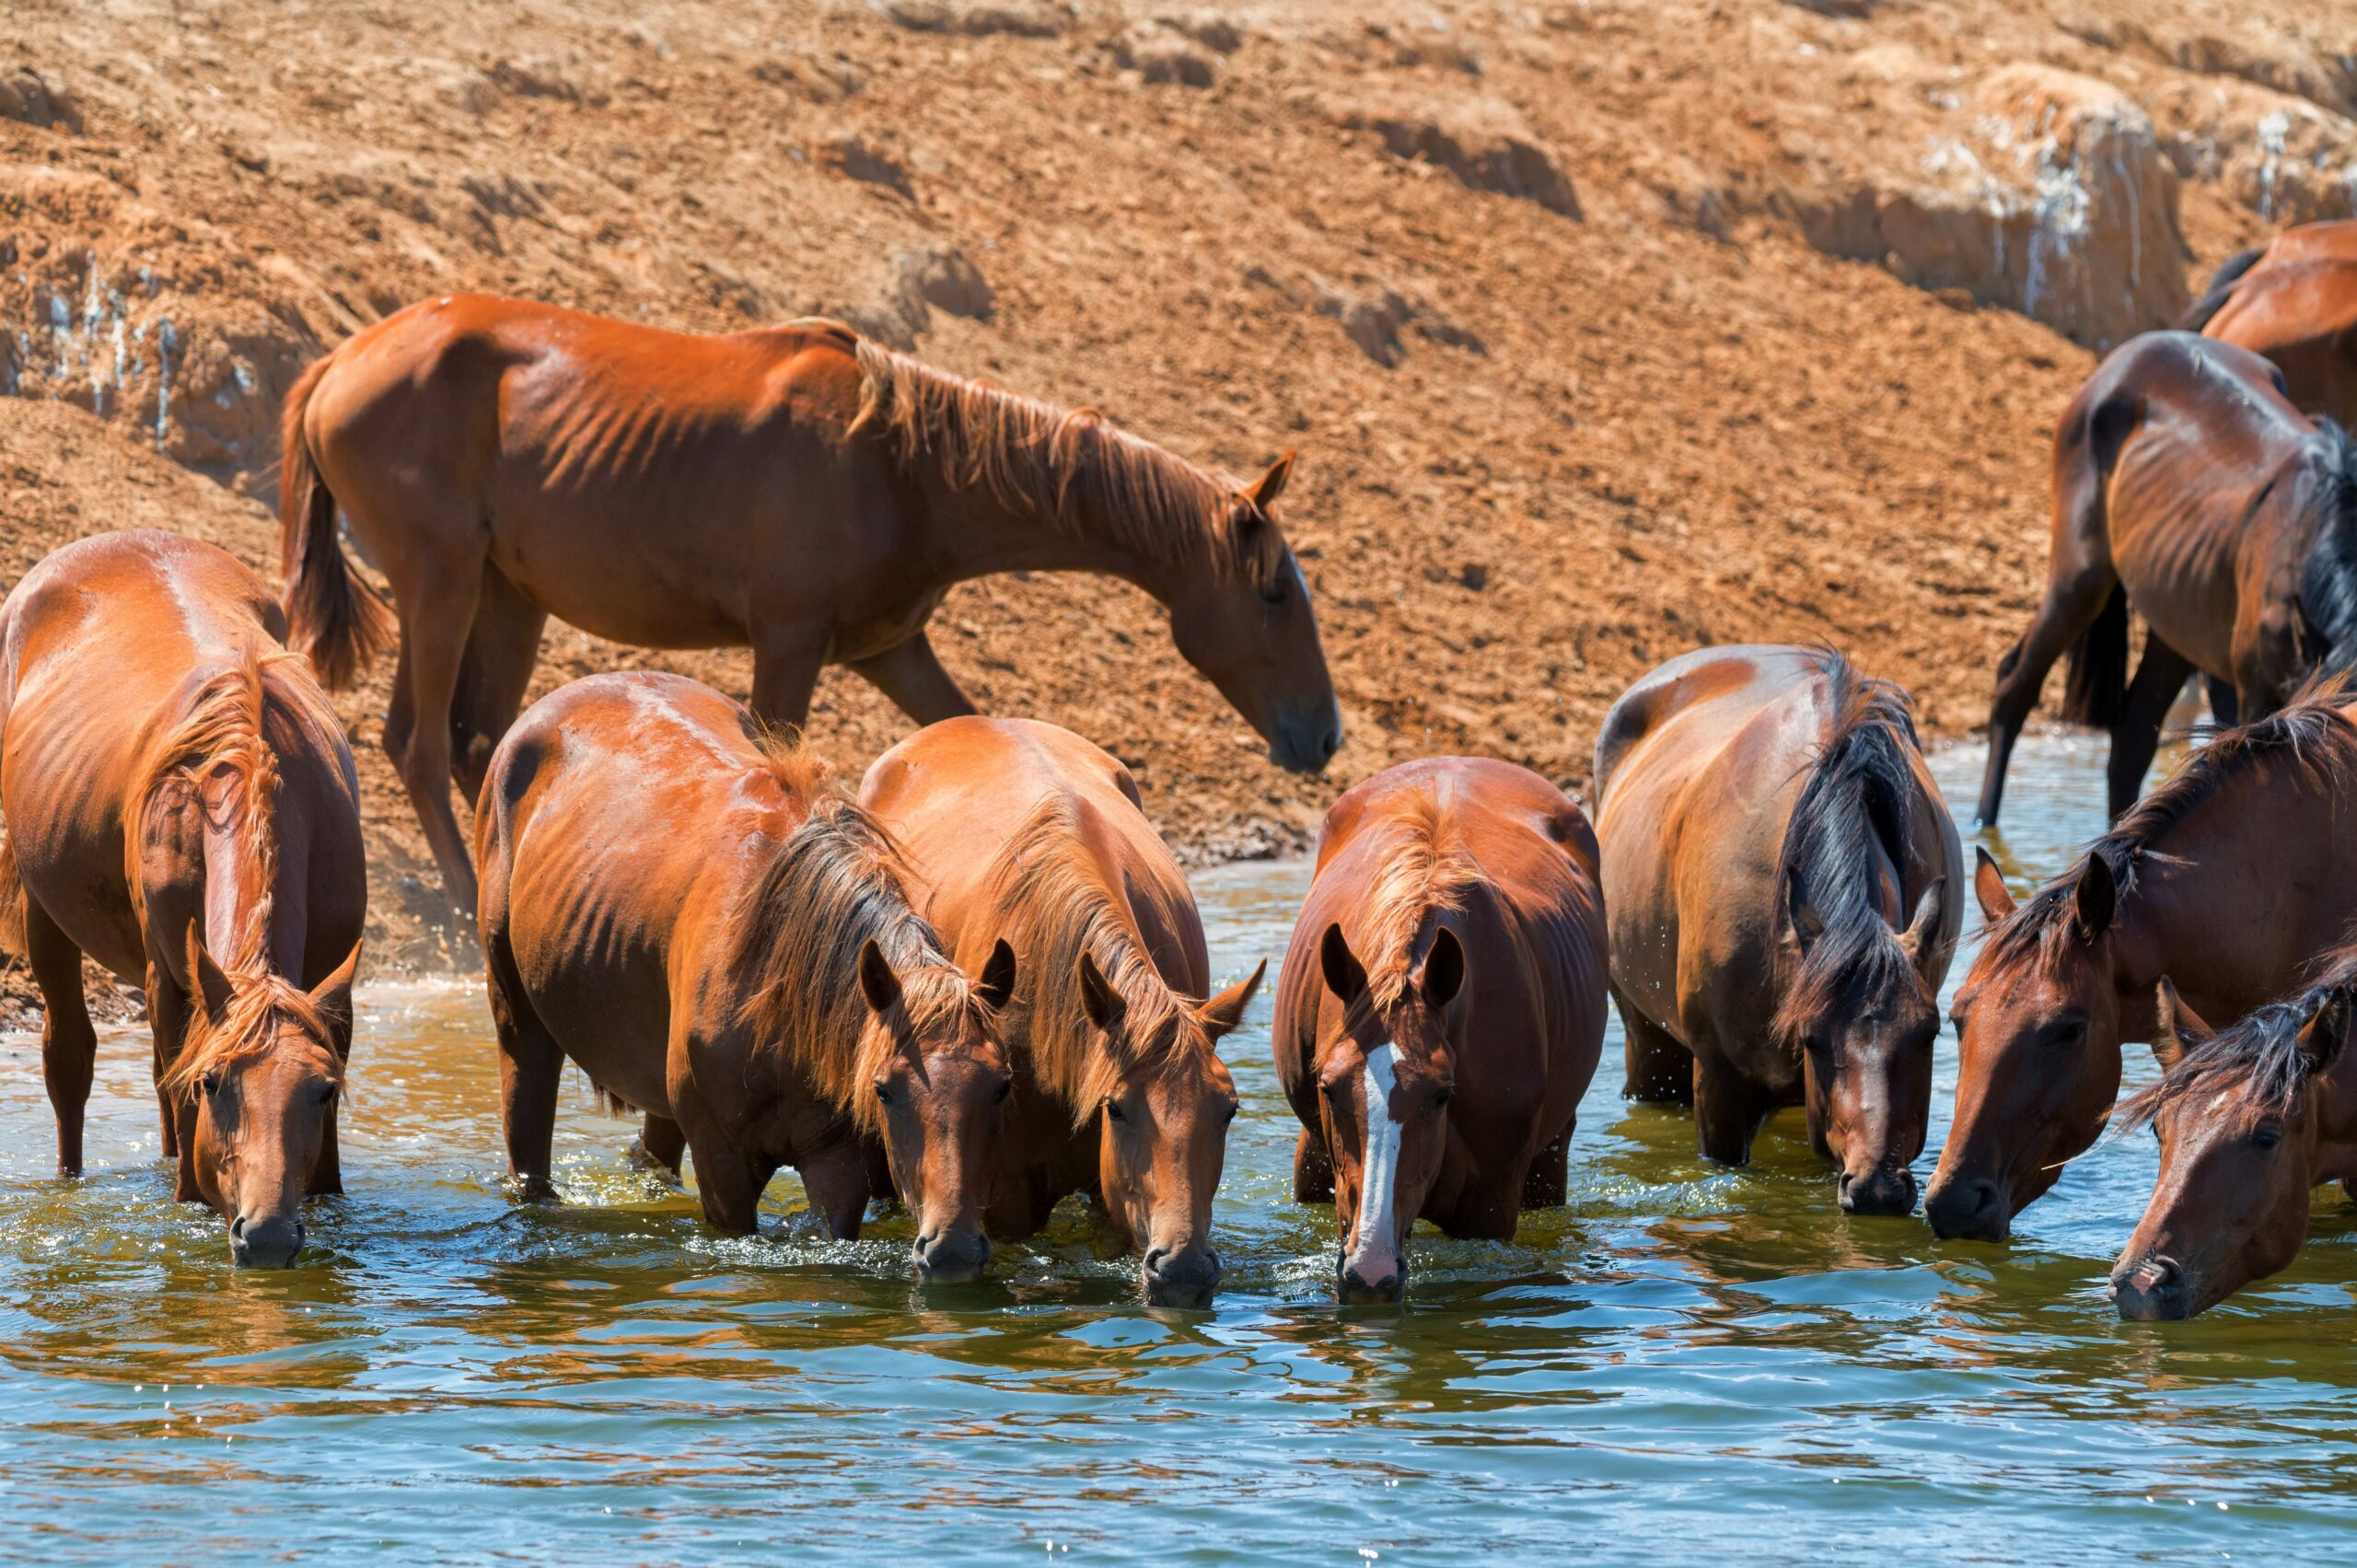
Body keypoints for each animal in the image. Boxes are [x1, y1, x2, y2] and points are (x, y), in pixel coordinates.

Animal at [0, 531, 365, 1267]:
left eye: (323, 1090)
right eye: (215, 1083)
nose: (267, 1236)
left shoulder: (331, 990)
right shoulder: (171, 977)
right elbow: (176, 1092)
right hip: (45, 912)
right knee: (71, 1057)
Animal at [278, 293, 1342, 925]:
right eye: (1273, 592)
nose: (1324, 735)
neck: (903, 463)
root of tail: (336, 364)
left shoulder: (890, 646)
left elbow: (959, 724)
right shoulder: (790, 643)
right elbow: (777, 760)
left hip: (508, 596)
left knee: (475, 742)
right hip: (442, 579)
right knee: (417, 743)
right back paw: (465, 914)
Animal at [474, 672, 1017, 1279]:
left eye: (1002, 1087)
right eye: (885, 1090)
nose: (952, 1251)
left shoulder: (838, 1162)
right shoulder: (723, 1165)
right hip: (518, 1022)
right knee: (527, 1136)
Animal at [1973, 330, 2357, 825]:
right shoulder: (2257, 688)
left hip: (2175, 617)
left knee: (2131, 739)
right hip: (2080, 580)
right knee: (2014, 686)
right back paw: (1983, 823)